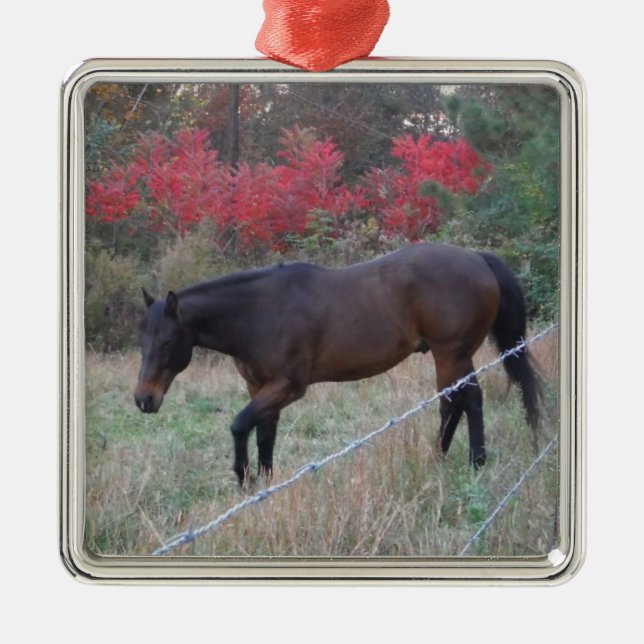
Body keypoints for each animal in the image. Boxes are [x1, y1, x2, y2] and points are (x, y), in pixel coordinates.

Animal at [134, 242, 541, 487]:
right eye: (141, 342)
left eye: (167, 342)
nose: (143, 400)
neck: (260, 312)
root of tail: (477, 258)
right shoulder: (260, 388)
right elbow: (263, 434)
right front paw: (264, 485)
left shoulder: (287, 387)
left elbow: (238, 425)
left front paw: (244, 478)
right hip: (455, 356)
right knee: (456, 402)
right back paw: (440, 457)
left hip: (450, 354)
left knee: (465, 400)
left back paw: (475, 463)